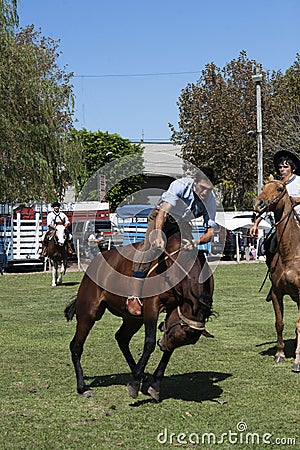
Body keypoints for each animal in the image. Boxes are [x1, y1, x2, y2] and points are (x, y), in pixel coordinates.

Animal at [64, 232, 214, 400]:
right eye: (174, 336)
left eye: (181, 340)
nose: (162, 345)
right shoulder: (151, 307)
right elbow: (149, 343)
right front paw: (137, 381)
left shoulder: (172, 310)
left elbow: (167, 351)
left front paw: (154, 382)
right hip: (88, 312)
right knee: (76, 346)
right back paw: (83, 386)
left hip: (133, 319)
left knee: (121, 338)